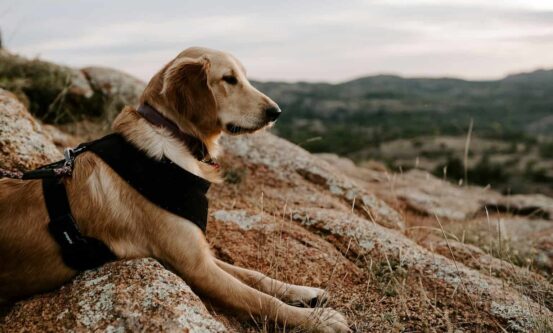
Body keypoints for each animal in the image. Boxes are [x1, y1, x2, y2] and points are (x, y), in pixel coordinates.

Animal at [0, 47, 350, 332]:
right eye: (229, 79)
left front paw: (304, 293)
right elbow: (260, 299)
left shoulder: (199, 252)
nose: (275, 112)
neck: (173, 137)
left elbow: (254, 276)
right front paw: (318, 320)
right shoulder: (196, 268)